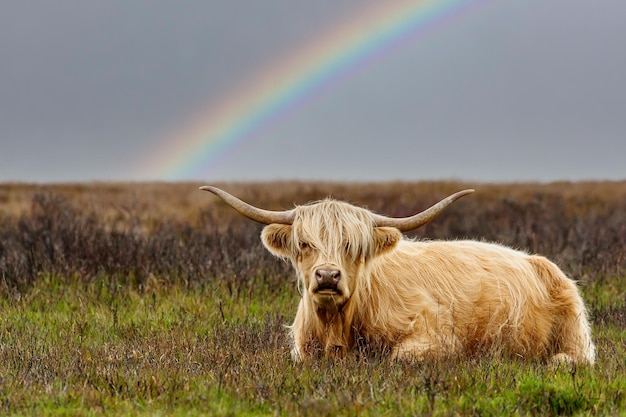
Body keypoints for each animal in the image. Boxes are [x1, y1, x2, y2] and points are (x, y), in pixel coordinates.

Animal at [201, 185, 596, 364]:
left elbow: (398, 357)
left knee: (574, 357)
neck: (337, 326)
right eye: (304, 244)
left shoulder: (436, 337)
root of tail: (537, 261)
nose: (327, 276)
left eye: (351, 245)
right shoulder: (302, 350)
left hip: (574, 333)